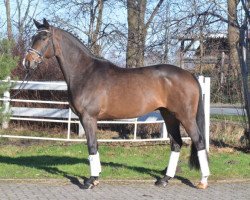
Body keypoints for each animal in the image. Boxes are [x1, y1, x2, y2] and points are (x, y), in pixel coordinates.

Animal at [23, 18, 210, 189]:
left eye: (44, 37)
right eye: (33, 37)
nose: (27, 62)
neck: (85, 72)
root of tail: (190, 75)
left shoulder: (88, 118)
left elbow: (91, 146)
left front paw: (91, 181)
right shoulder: (90, 119)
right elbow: (95, 145)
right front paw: (97, 176)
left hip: (185, 116)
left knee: (199, 141)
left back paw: (203, 181)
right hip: (169, 115)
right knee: (176, 143)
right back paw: (164, 179)